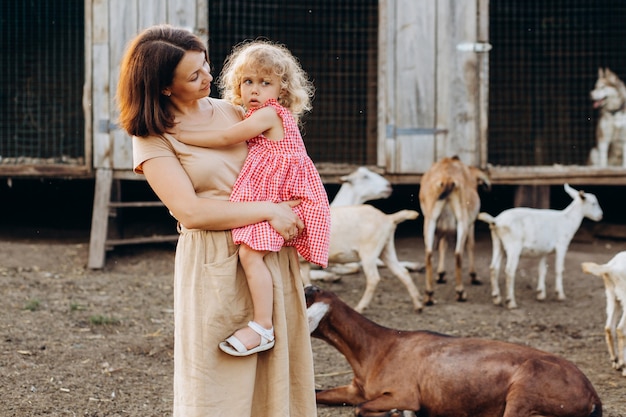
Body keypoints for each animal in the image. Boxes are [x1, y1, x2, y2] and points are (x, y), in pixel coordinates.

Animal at [304, 286, 604, 416]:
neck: (380, 347)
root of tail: (592, 394)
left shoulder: (404, 394)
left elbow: (361, 409)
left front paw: (399, 414)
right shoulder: (355, 389)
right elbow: (318, 393)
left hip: (524, 391)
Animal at [416, 154, 490, 304]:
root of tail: (447, 180)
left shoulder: (443, 228)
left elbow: (442, 246)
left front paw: (441, 274)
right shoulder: (470, 223)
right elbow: (471, 245)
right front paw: (474, 276)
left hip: (429, 221)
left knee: (429, 253)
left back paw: (429, 294)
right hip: (462, 221)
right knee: (458, 253)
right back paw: (460, 292)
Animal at [476, 183, 604, 308]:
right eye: (593, 203)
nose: (601, 216)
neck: (568, 219)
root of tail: (496, 221)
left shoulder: (544, 251)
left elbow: (542, 270)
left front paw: (541, 294)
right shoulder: (562, 245)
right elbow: (559, 269)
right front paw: (560, 295)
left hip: (498, 243)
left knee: (494, 267)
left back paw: (496, 298)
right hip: (514, 246)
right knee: (509, 271)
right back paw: (511, 302)